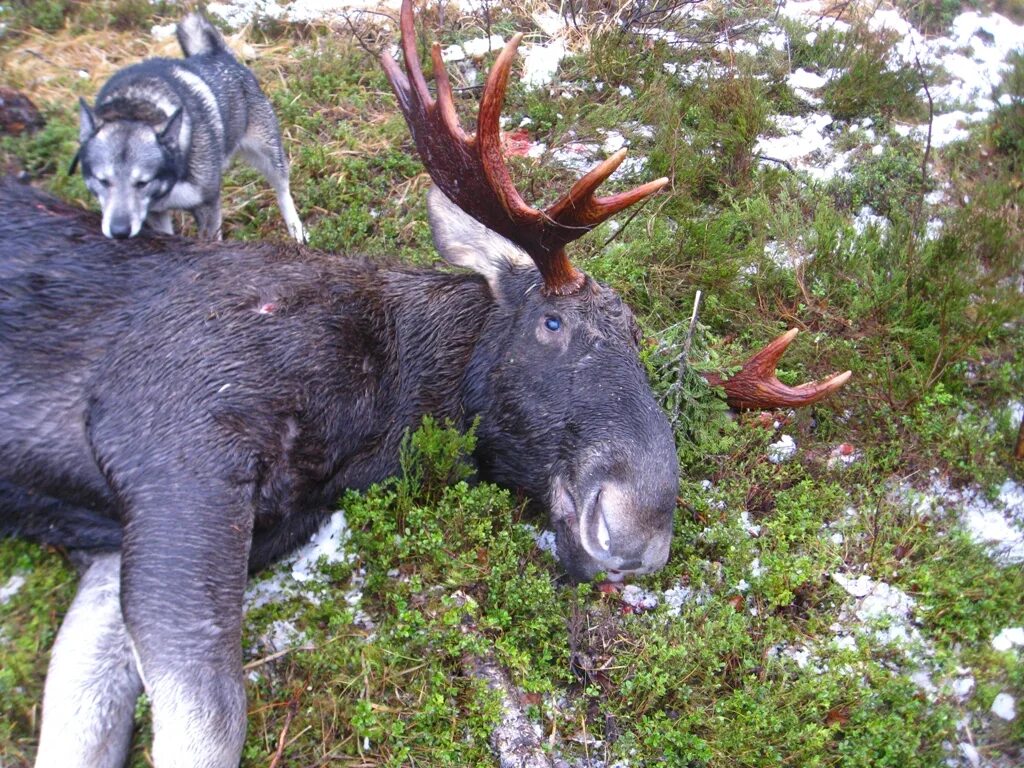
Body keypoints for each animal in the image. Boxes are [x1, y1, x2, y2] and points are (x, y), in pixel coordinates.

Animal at [74, 12, 303, 240]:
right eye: (102, 181)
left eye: (142, 182)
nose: (119, 231)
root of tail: (217, 53)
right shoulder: (156, 214)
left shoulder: (208, 207)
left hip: (269, 156)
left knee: (283, 191)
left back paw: (296, 229)